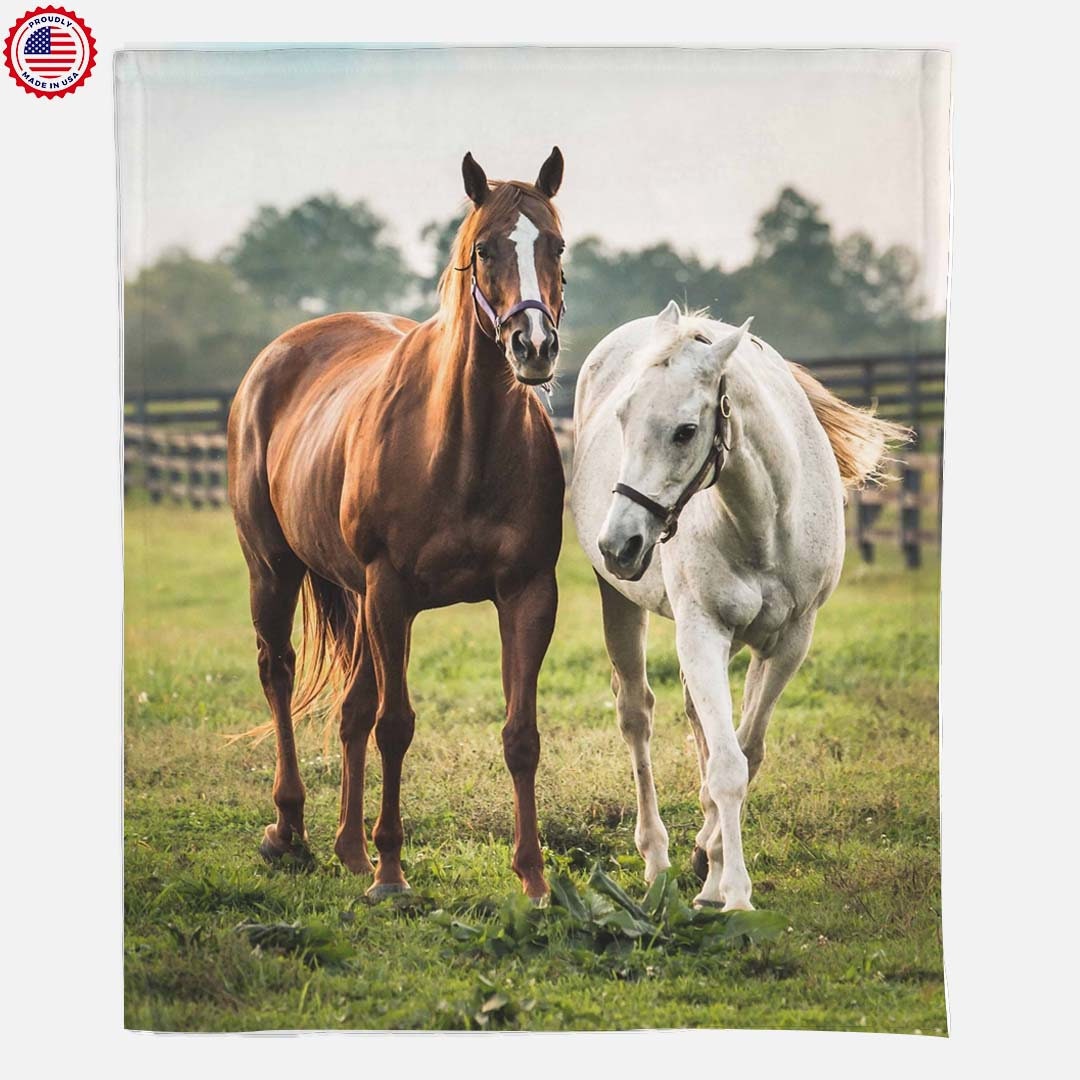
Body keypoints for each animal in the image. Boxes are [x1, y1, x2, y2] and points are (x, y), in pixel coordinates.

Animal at [227, 149, 567, 900]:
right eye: (484, 248)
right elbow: (396, 726)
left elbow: (520, 734)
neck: (462, 445)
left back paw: (348, 849)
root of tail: (276, 355)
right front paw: (390, 873)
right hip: (275, 572)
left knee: (350, 708)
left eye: (556, 246)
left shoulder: (528, 594)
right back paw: (289, 830)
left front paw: (533, 880)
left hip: (355, 596)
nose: (533, 347)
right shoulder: (391, 593)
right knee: (279, 673)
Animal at [569, 301, 907, 910]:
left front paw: (713, 866)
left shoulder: (789, 642)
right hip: (622, 604)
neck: (763, 522)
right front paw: (735, 894)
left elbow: (744, 753)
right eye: (623, 417)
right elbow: (728, 764)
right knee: (636, 715)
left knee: (698, 724)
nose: (619, 545)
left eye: (685, 431)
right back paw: (657, 859)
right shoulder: (703, 630)